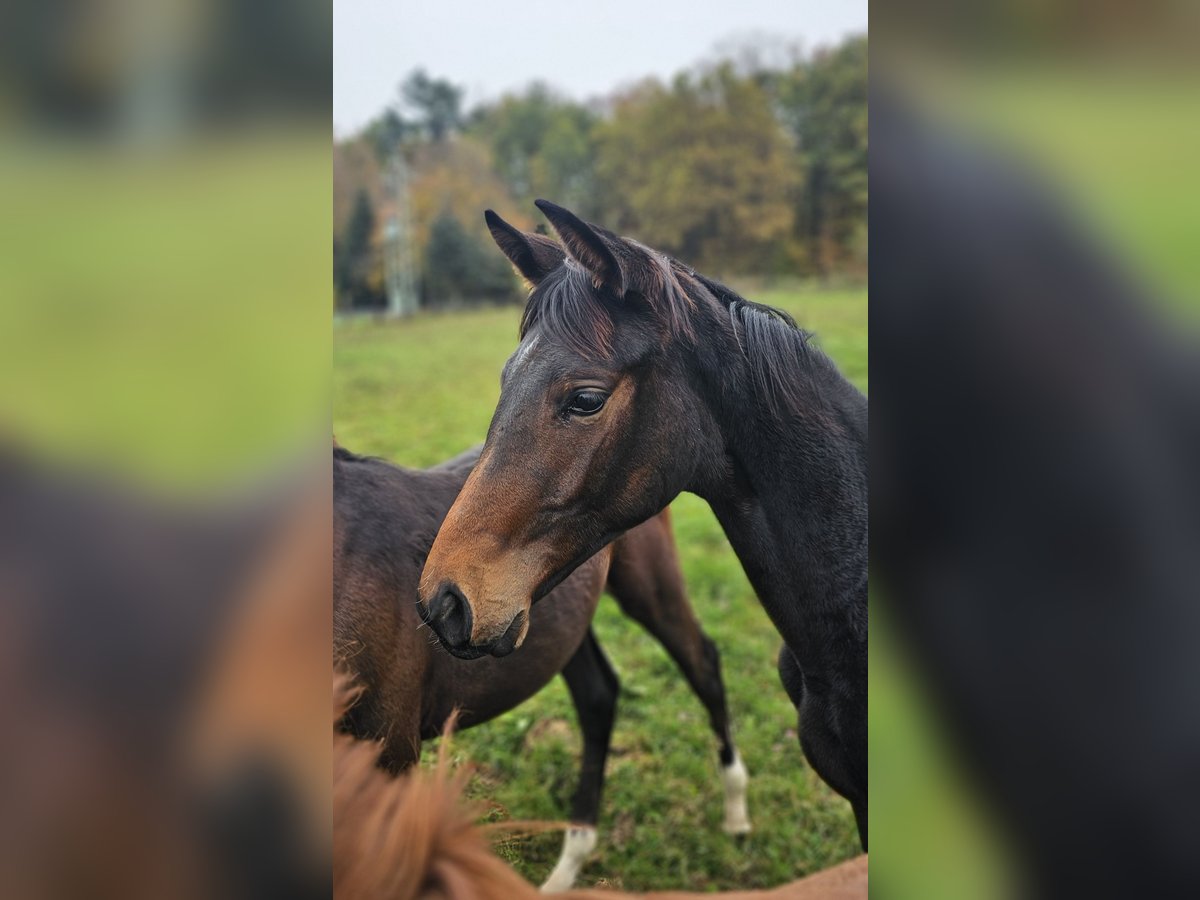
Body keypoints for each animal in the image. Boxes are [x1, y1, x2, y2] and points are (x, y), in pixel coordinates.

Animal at [336, 441, 748, 888]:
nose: (447, 609)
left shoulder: (390, 750)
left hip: (648, 585)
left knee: (702, 663)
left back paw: (736, 810)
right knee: (598, 696)